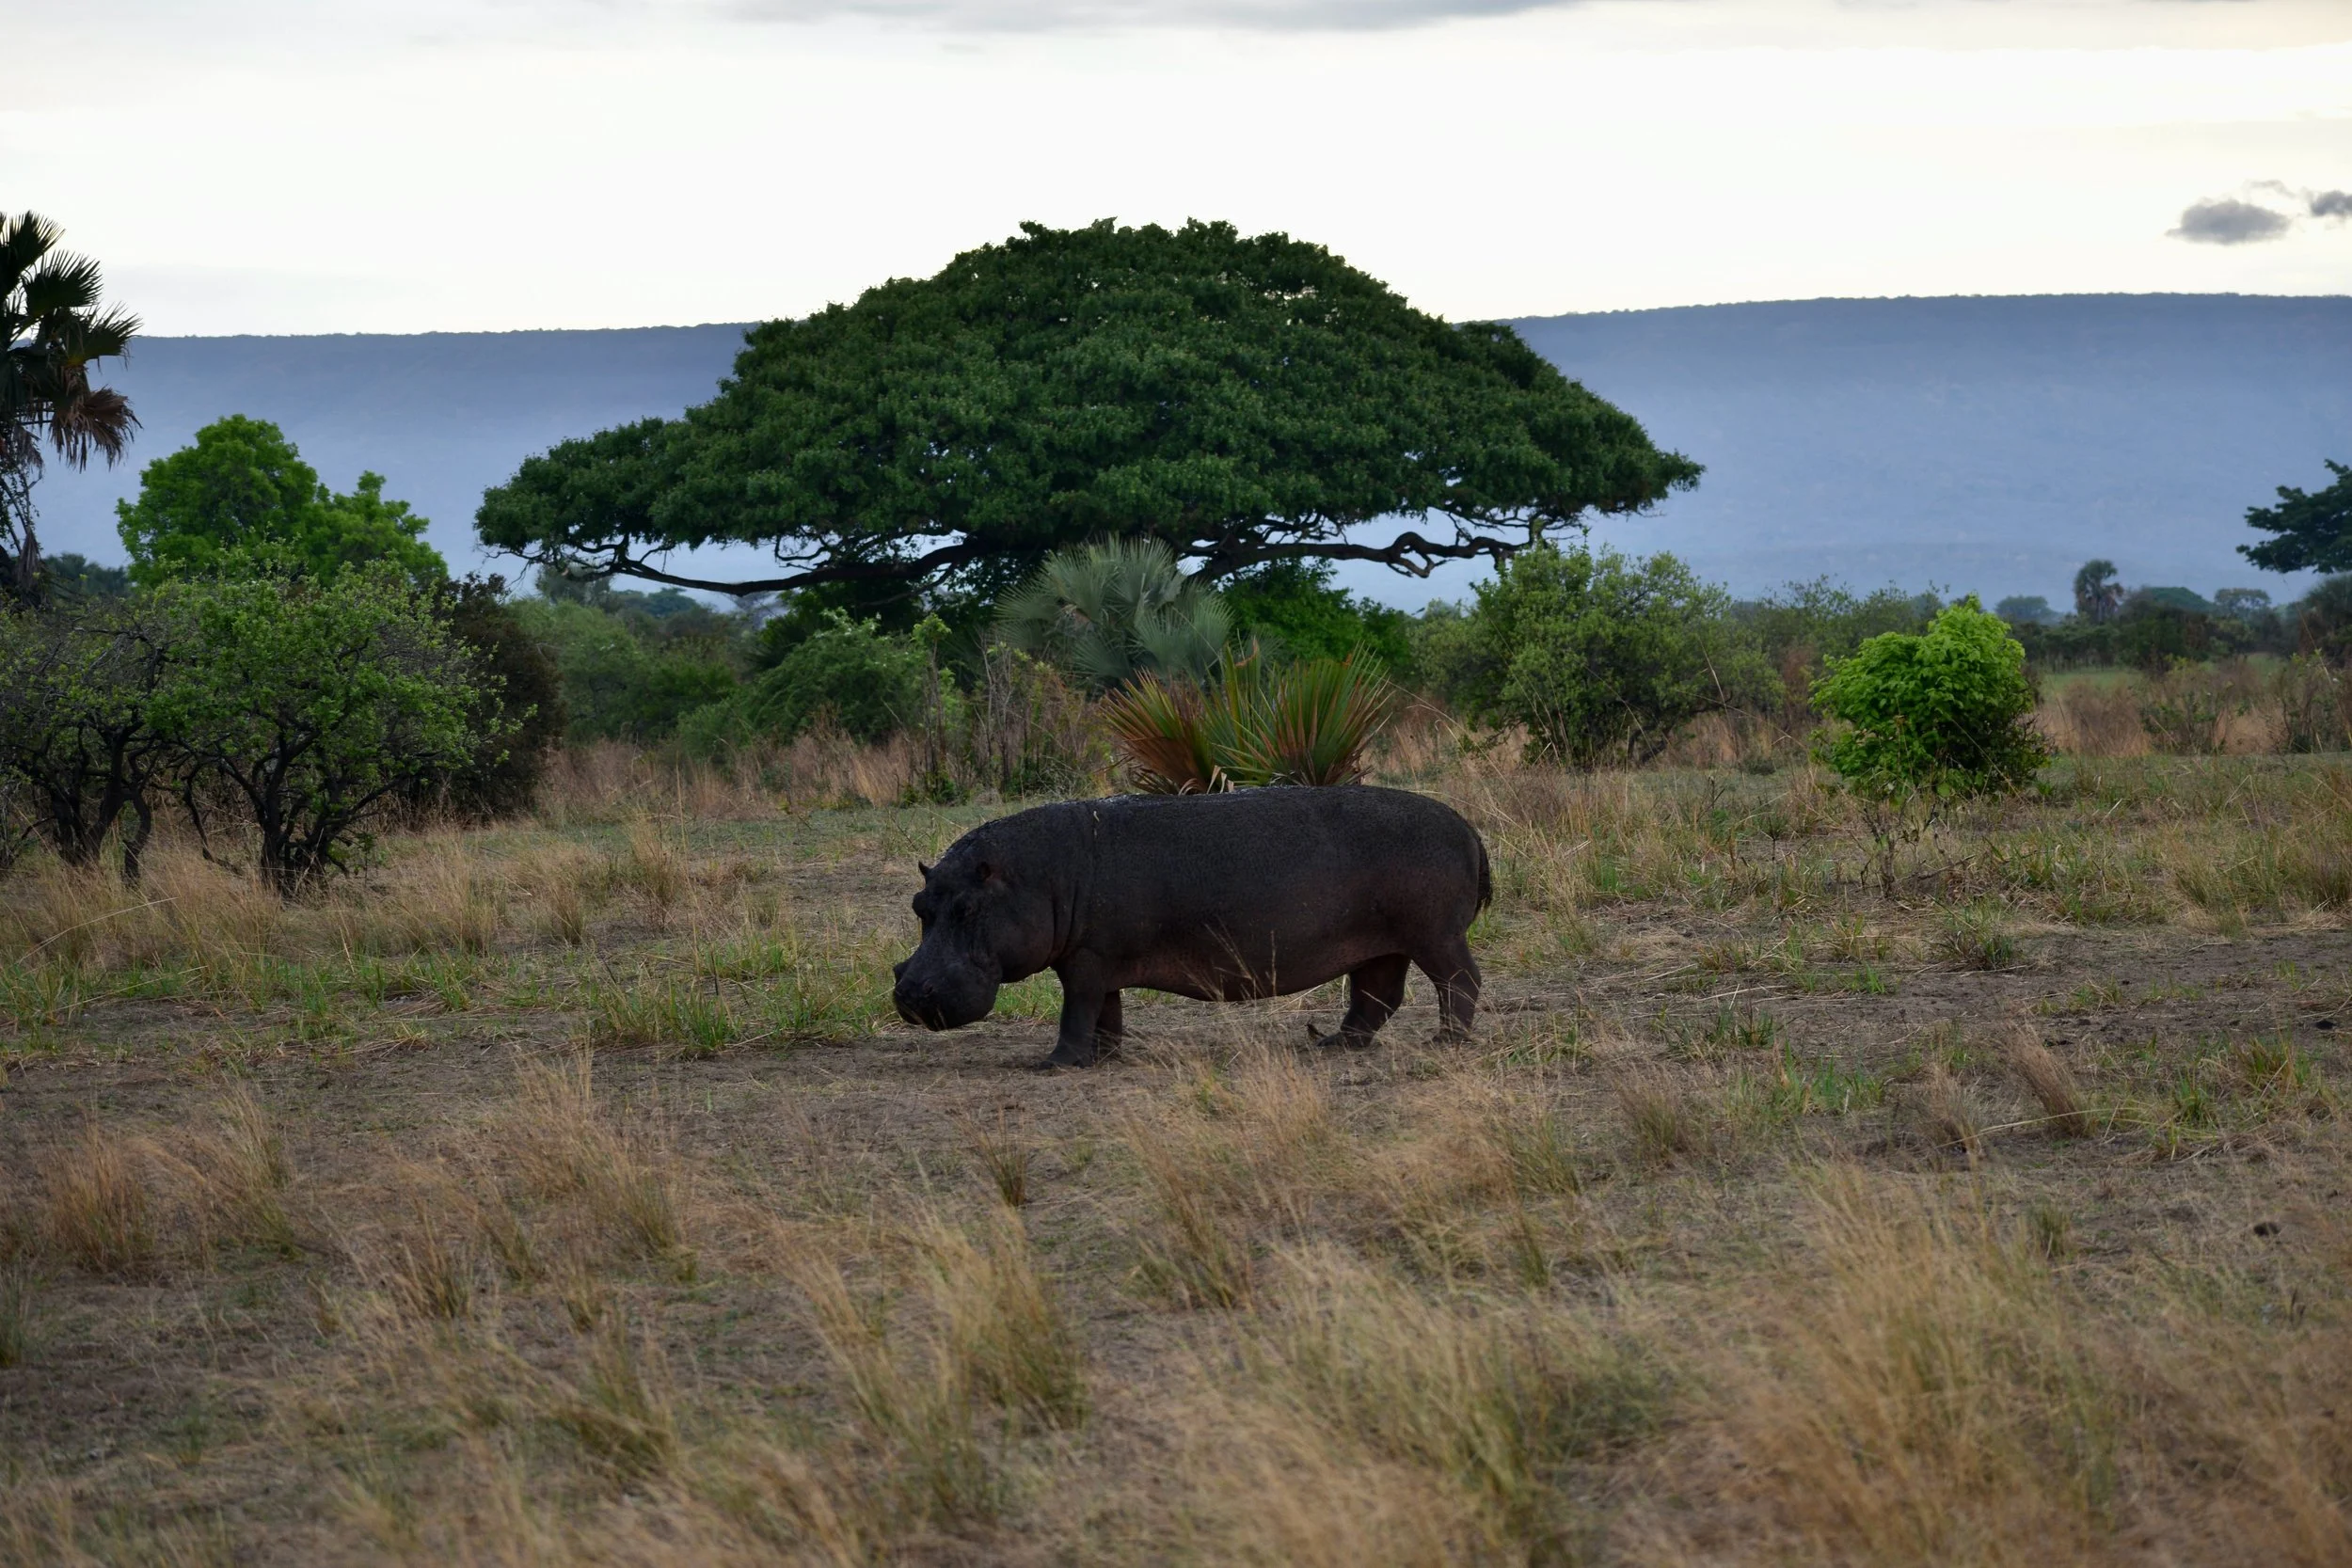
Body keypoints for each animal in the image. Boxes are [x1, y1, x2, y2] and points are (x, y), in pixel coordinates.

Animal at [891, 786, 1490, 1067]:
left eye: (967, 910)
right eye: (920, 905)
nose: (910, 993)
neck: (1034, 878)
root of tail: (1468, 828)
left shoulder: (1085, 961)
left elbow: (1075, 1011)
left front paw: (1055, 1065)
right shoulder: (1099, 961)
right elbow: (1105, 1014)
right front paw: (1105, 1058)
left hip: (1435, 936)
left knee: (1459, 981)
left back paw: (1446, 1041)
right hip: (1382, 945)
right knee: (1376, 997)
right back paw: (1333, 1045)